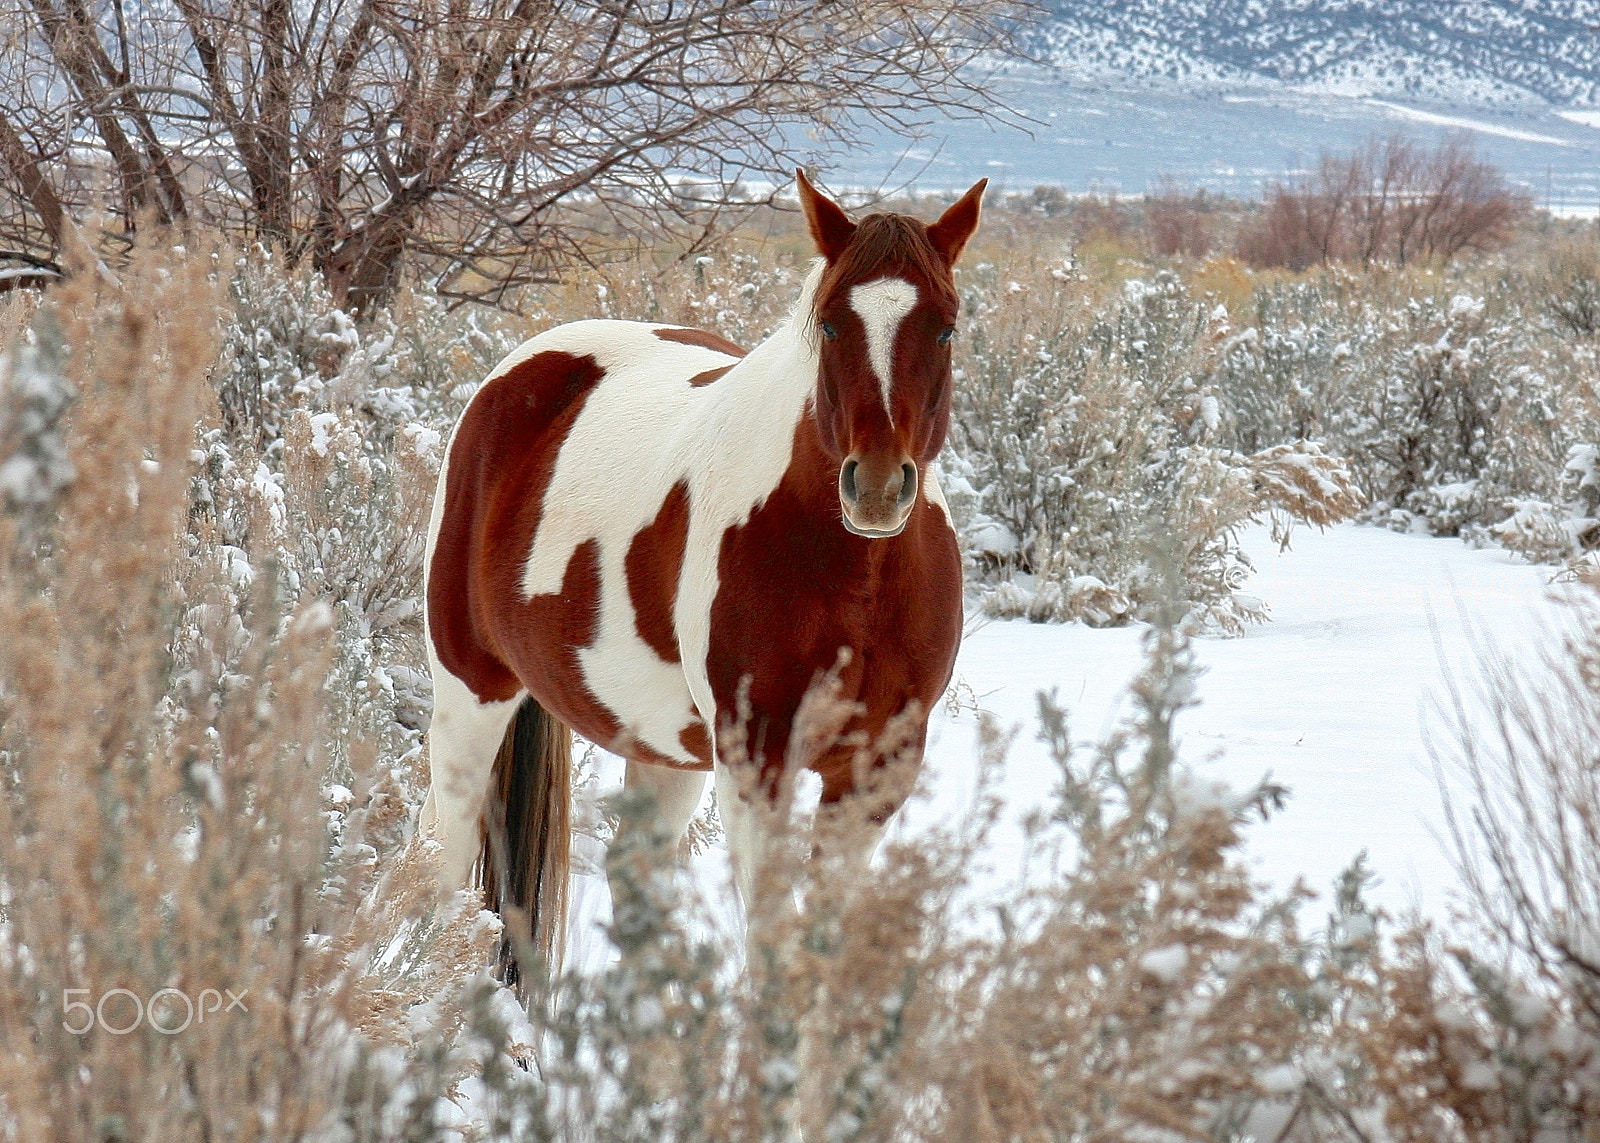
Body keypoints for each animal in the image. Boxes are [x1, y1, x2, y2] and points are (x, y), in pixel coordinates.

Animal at [417, 171, 985, 980]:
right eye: (831, 325)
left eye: (944, 327)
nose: (876, 486)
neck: (854, 573)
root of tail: (519, 372)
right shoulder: (758, 763)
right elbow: (772, 945)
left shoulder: (877, 768)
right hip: (471, 690)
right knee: (446, 855)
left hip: (667, 748)